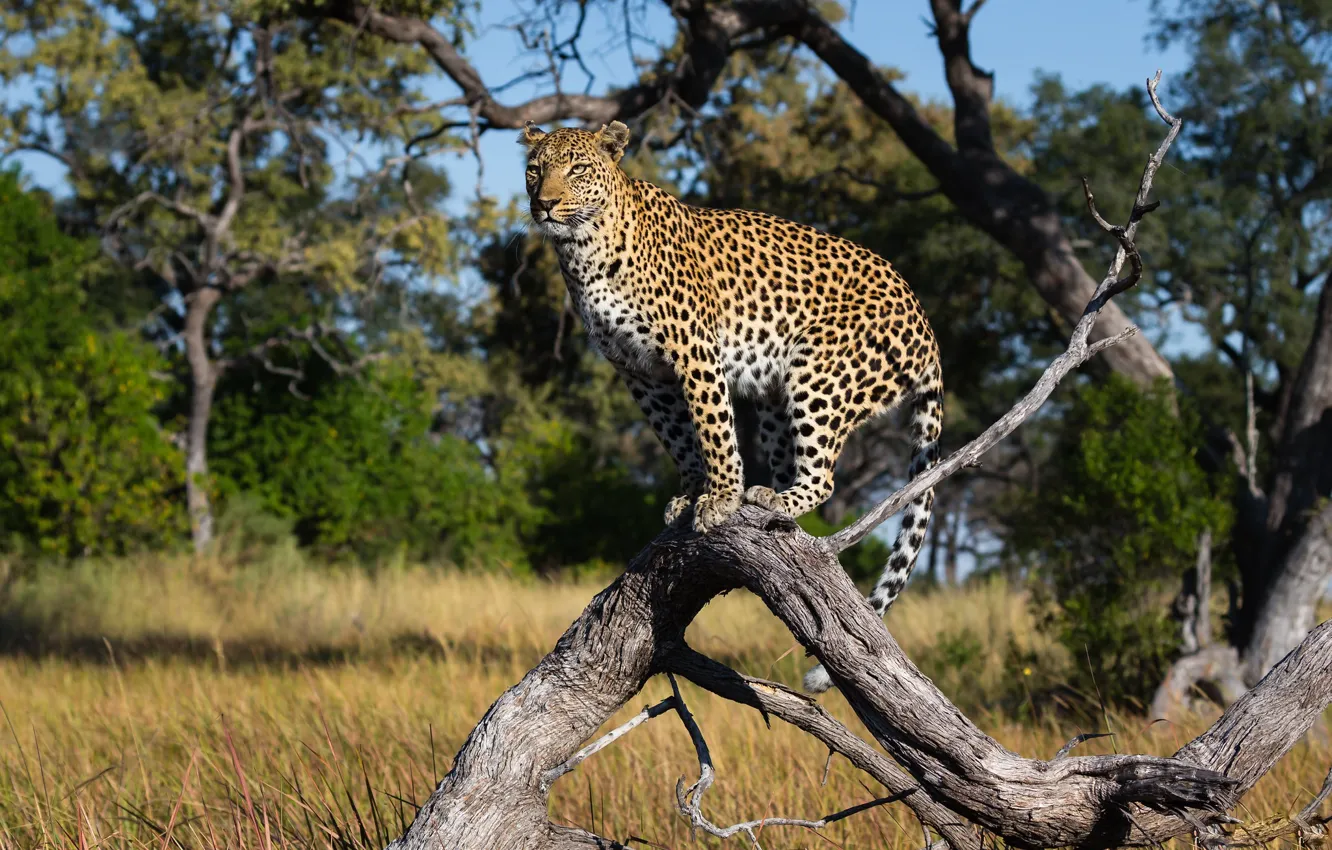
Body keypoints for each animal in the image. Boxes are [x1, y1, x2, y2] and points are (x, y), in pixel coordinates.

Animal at [521, 120, 944, 693]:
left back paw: (772, 498)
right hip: (773, 396)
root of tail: (926, 324)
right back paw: (771, 497)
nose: (544, 203)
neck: (583, 251)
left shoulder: (693, 348)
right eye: (535, 169)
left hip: (817, 369)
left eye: (577, 169)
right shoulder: (641, 373)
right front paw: (690, 492)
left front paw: (719, 499)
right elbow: (678, 437)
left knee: (825, 476)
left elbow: (713, 427)